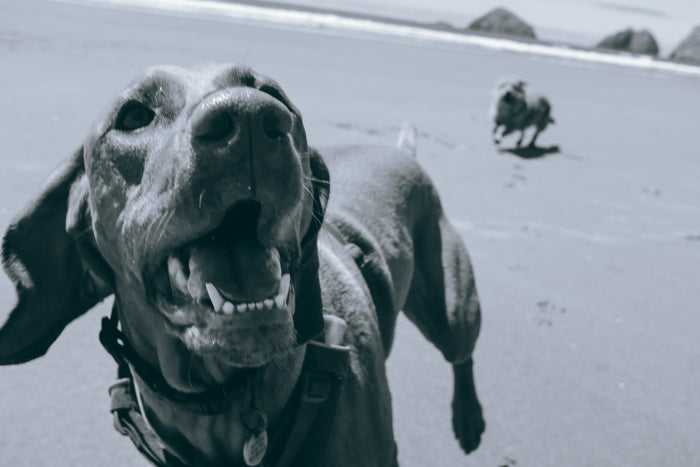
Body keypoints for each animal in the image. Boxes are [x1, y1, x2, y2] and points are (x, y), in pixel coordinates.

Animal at [0, 64, 484, 467]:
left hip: (453, 314)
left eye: (272, 93)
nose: (251, 117)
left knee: (463, 353)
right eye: (133, 115)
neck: (222, 399)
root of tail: (403, 154)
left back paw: (469, 416)